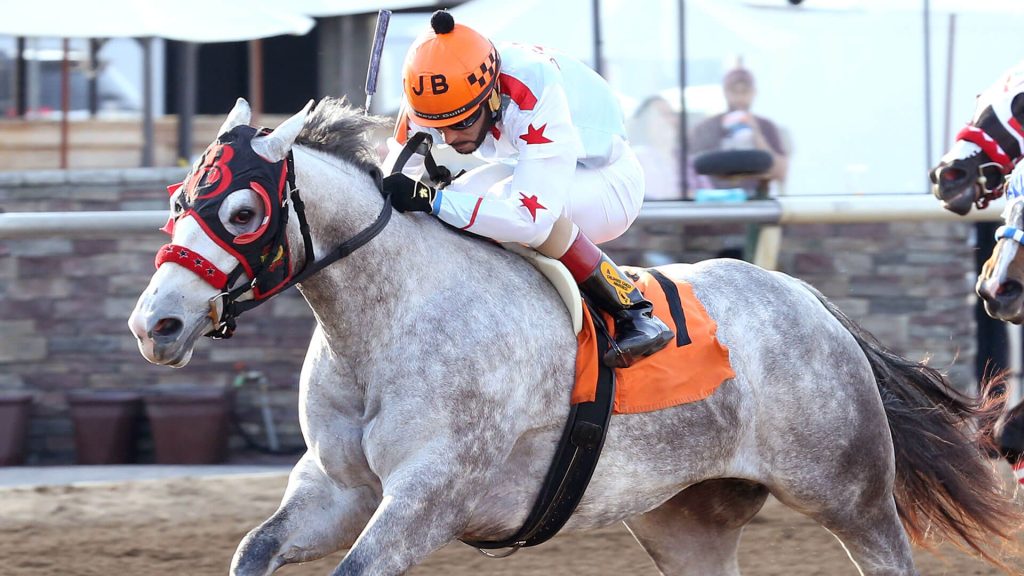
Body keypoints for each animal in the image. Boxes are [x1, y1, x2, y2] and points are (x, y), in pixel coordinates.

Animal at [129, 97, 1023, 576]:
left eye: (242, 211)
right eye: (176, 197)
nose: (155, 324)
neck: (386, 324)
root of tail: (812, 302)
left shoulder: (430, 494)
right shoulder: (335, 488)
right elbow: (256, 547)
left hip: (851, 493)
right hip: (685, 520)